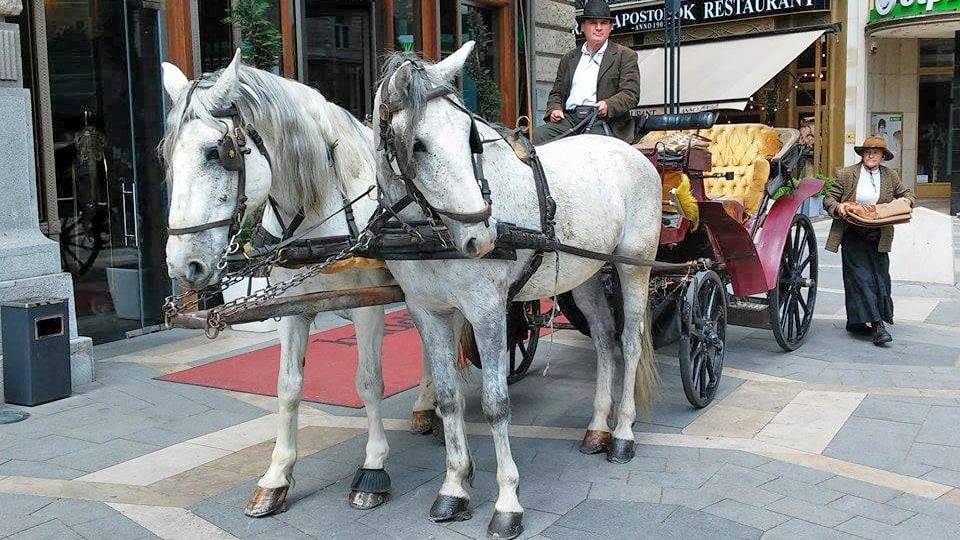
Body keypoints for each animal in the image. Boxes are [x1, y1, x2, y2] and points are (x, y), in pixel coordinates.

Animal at [160, 51, 438, 520]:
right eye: (167, 156)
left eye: (217, 153)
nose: (183, 264)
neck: (319, 209)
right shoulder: (290, 305)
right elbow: (288, 386)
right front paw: (276, 477)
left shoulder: (367, 306)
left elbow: (368, 382)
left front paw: (373, 467)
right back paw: (425, 407)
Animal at [376, 43, 660, 540]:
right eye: (418, 145)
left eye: (471, 138)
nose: (482, 237)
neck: (432, 232)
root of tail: (629, 152)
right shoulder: (427, 311)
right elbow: (448, 398)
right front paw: (453, 488)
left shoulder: (487, 310)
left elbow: (495, 404)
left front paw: (507, 502)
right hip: (585, 273)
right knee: (604, 341)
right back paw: (598, 428)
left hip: (635, 266)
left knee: (629, 341)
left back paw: (623, 435)